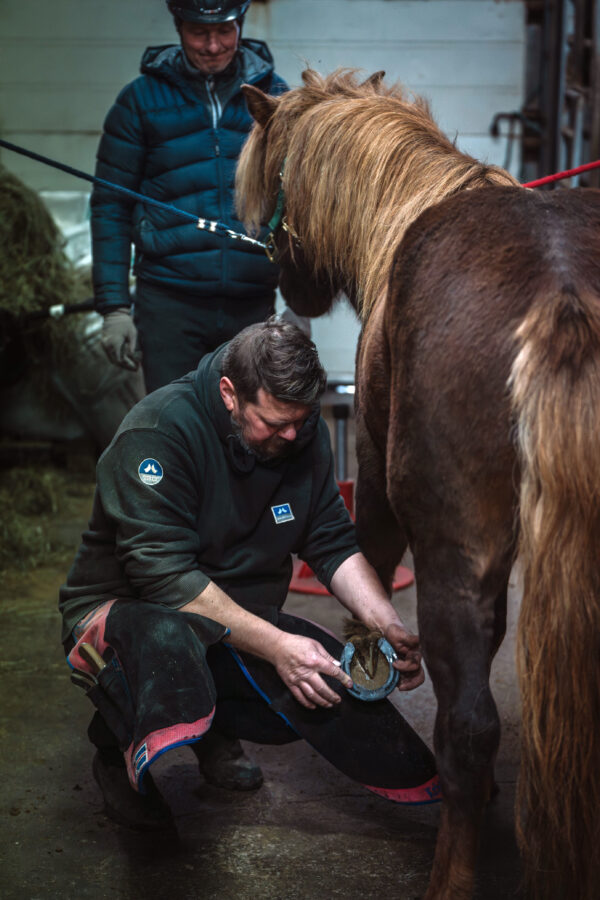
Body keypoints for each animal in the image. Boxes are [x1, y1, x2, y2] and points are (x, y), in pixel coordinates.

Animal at [236, 67, 600, 896]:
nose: (289, 290)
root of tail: (563, 300)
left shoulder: (379, 489)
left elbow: (363, 565)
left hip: (447, 563)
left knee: (467, 731)